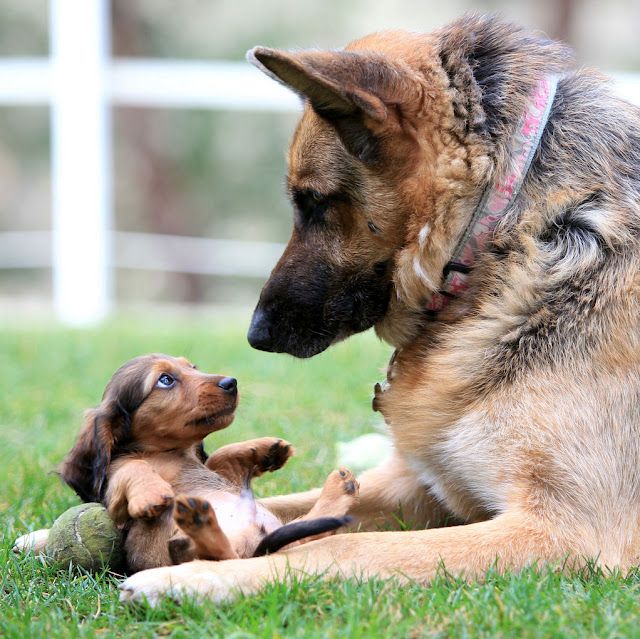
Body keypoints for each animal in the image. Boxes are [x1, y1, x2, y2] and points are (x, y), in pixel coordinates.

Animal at [58, 356, 360, 576]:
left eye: (192, 367)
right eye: (165, 380)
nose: (231, 382)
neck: (171, 452)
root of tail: (257, 550)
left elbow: (219, 457)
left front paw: (265, 449)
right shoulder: (115, 501)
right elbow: (132, 467)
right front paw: (151, 493)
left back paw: (340, 488)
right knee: (222, 557)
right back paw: (199, 523)